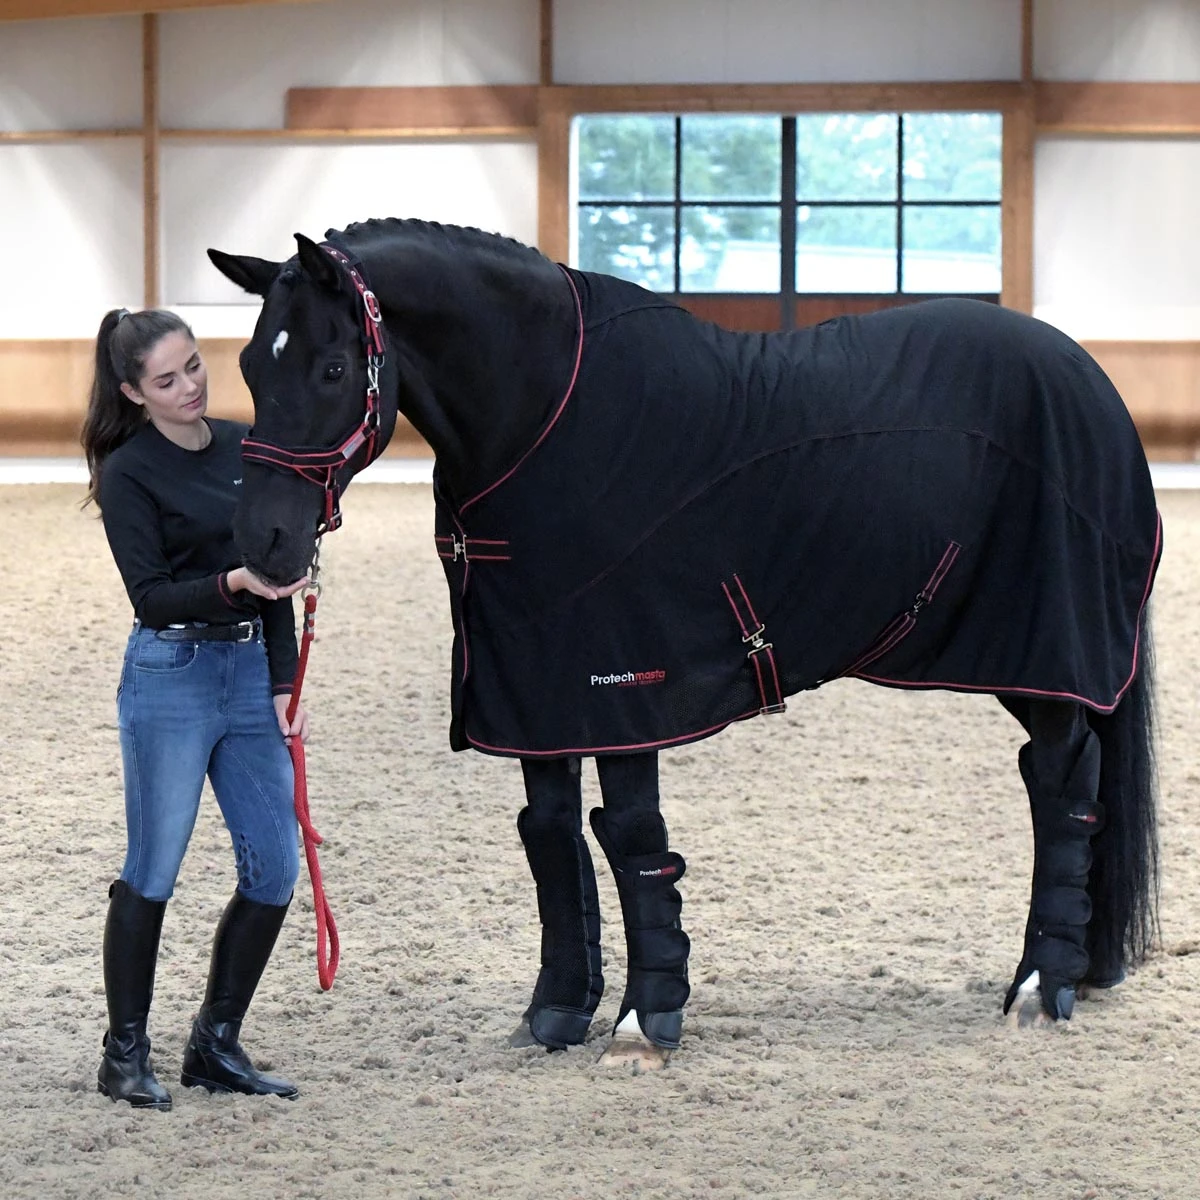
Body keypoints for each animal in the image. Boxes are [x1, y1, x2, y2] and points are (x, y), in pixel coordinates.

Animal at [208, 218, 1161, 1070]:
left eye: (334, 367)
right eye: (251, 365)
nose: (263, 544)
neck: (542, 416)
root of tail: (1089, 378)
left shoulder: (622, 686)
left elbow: (633, 838)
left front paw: (644, 1024)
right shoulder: (536, 691)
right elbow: (550, 834)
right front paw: (555, 1016)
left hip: (1046, 652)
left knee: (1064, 785)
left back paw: (1039, 986)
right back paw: (1074, 968)